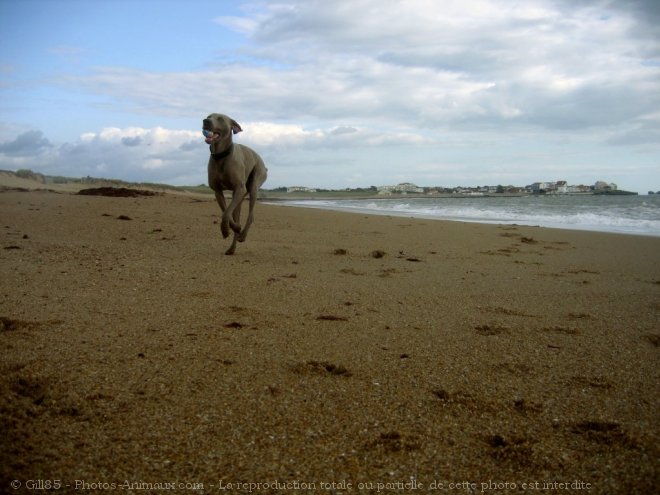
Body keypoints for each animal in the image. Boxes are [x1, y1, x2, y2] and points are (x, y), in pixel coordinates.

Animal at [205, 113, 270, 256]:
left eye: (220, 119)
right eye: (208, 116)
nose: (205, 121)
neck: (221, 156)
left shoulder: (239, 188)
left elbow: (226, 214)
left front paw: (225, 231)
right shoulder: (218, 191)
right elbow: (226, 213)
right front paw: (231, 228)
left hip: (254, 183)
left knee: (251, 215)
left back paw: (243, 235)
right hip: (240, 196)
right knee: (236, 214)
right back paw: (232, 247)